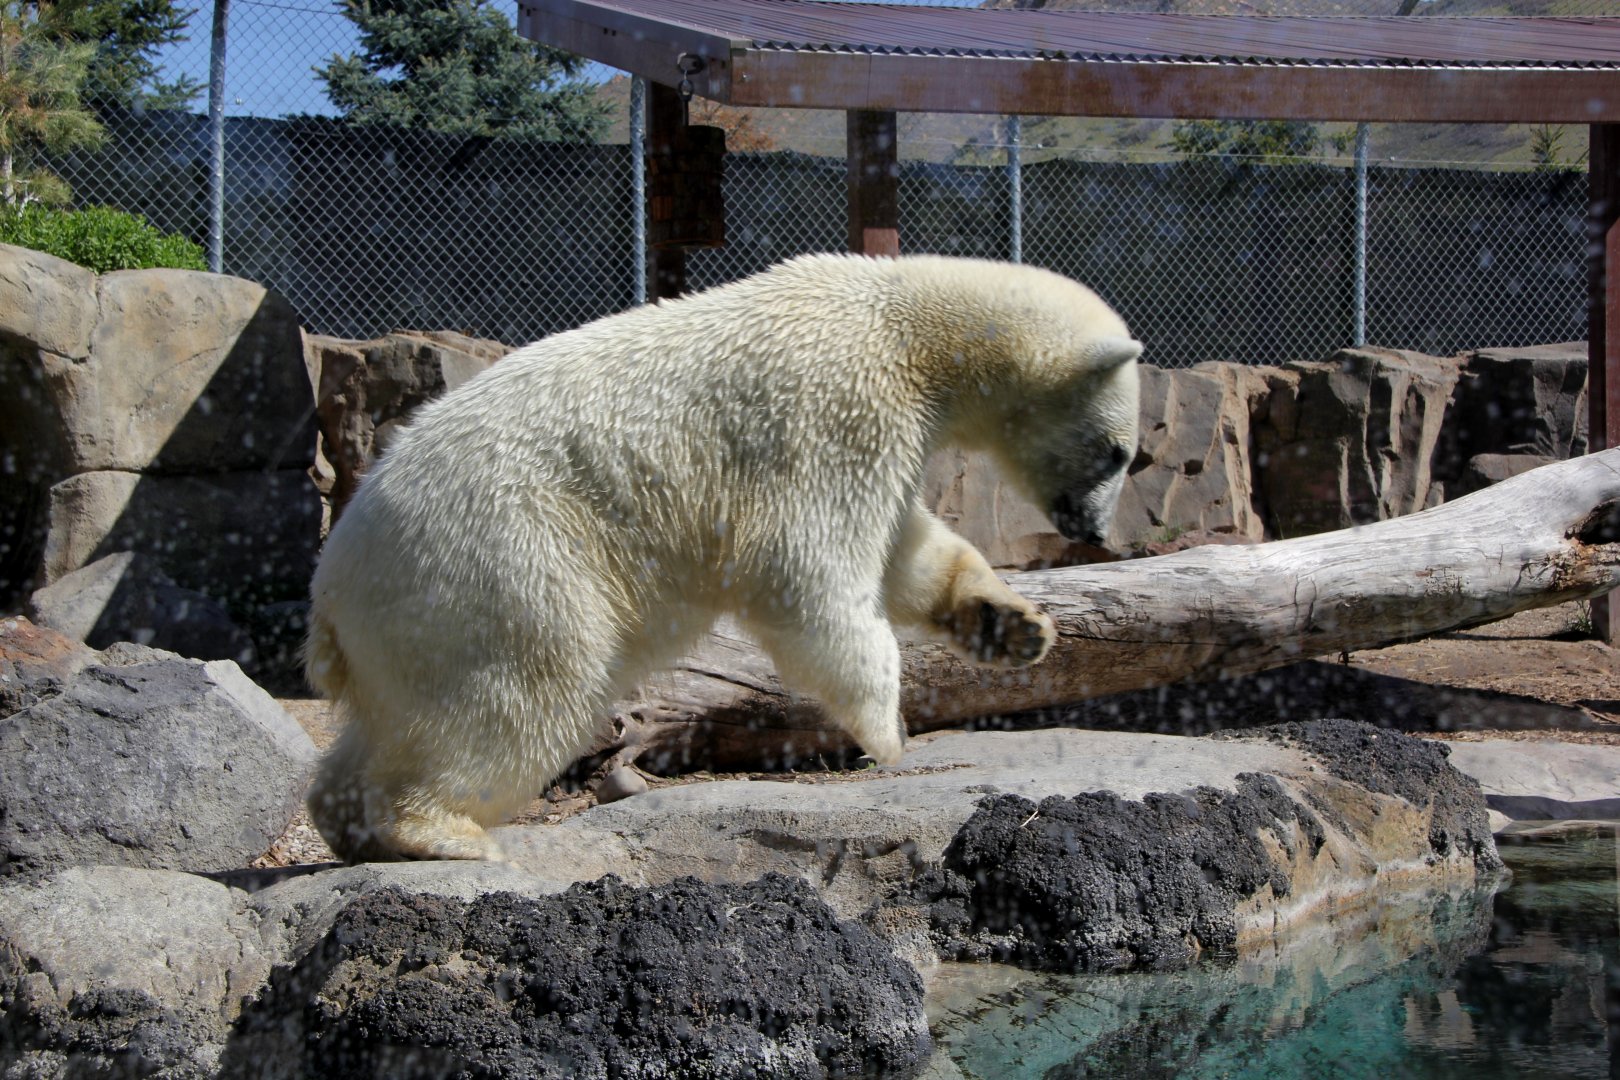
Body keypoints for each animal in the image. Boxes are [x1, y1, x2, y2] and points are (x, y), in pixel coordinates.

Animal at [304, 253, 1142, 862]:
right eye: (1119, 452)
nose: (1095, 530)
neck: (905, 325)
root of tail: (330, 588)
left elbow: (904, 551)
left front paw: (1013, 626)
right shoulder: (835, 408)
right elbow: (808, 569)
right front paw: (886, 734)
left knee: (398, 713)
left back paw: (346, 820)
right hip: (498, 557)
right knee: (521, 684)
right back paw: (438, 831)